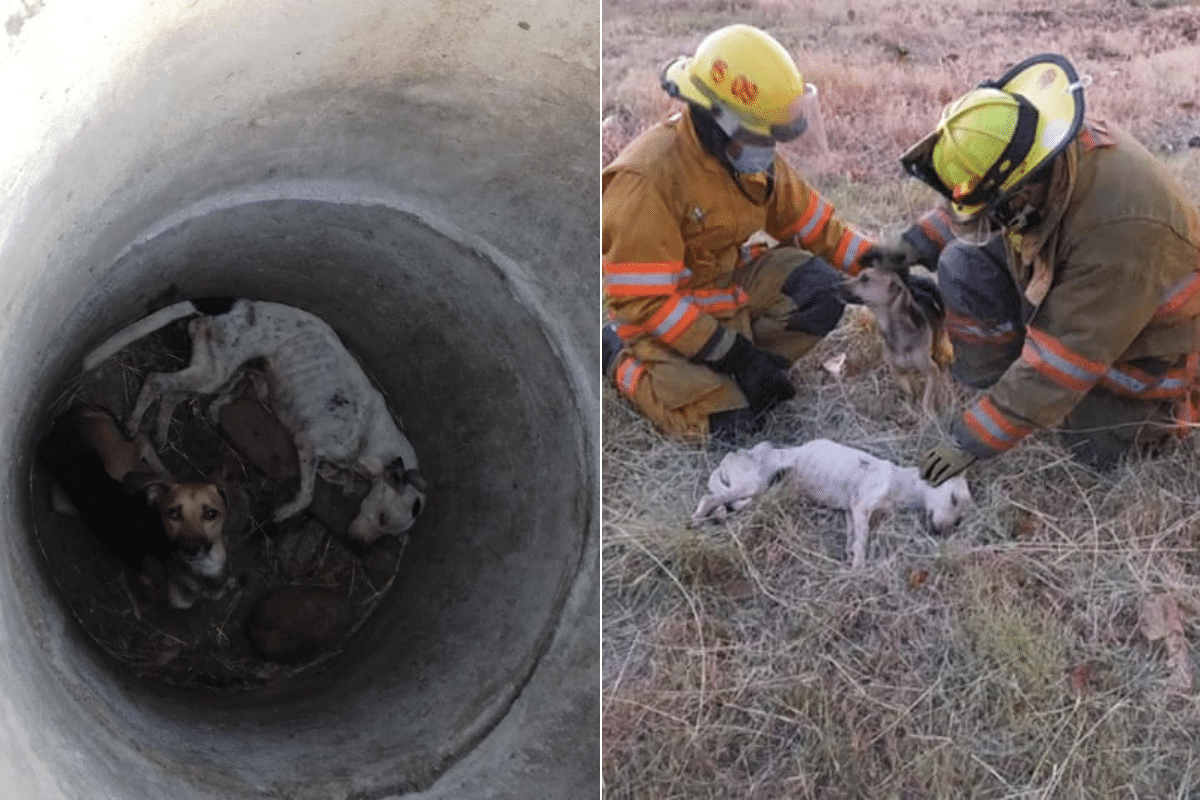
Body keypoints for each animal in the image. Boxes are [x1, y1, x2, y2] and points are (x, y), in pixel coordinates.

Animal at [43, 407, 234, 614]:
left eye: (211, 514)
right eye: (173, 513)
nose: (191, 550)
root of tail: (69, 414)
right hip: (111, 469)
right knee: (141, 440)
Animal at [691, 438, 969, 568]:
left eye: (960, 519)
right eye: (953, 499)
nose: (945, 531)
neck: (900, 483)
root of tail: (730, 456)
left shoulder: (850, 511)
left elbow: (852, 538)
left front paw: (849, 556)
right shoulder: (861, 506)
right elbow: (862, 541)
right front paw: (858, 569)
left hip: (758, 492)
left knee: (727, 503)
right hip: (753, 485)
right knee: (709, 497)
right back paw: (697, 517)